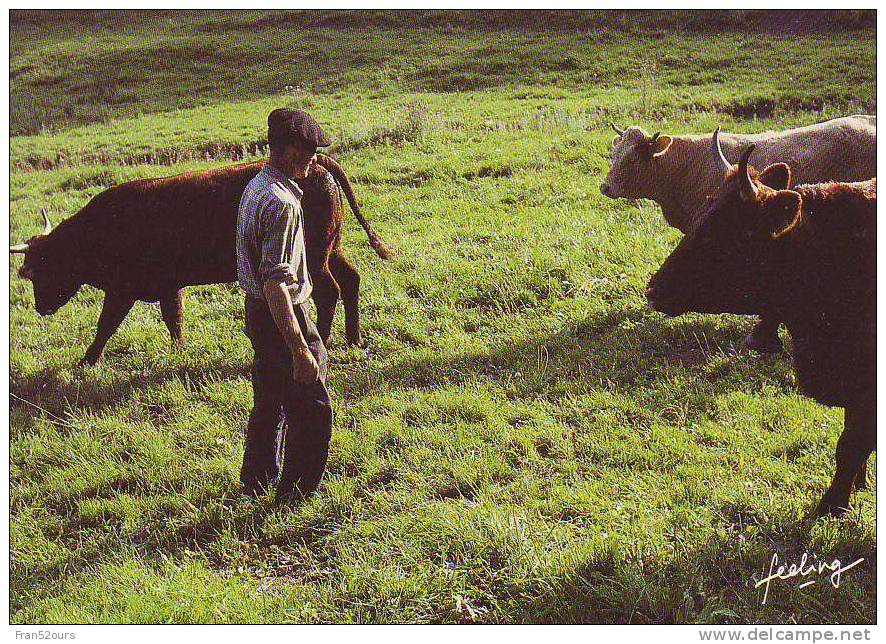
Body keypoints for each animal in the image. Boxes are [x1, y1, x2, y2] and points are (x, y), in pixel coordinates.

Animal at [6, 152, 388, 362]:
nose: (40, 307)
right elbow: (174, 320)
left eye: (39, 269)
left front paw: (86, 362)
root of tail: (316, 163)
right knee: (351, 281)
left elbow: (106, 326)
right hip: (331, 250)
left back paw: (323, 340)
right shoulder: (167, 286)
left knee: (329, 292)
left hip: (314, 258)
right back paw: (354, 338)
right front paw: (179, 351)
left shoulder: (121, 291)